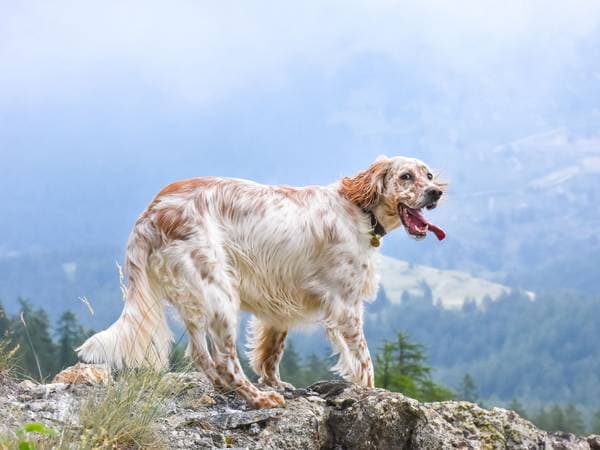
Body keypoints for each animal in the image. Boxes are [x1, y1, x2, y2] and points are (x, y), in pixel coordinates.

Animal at [77, 155, 446, 408]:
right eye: (406, 176)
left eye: (428, 174)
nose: (436, 192)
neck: (357, 210)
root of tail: (150, 214)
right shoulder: (345, 305)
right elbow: (364, 361)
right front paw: (372, 392)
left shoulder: (280, 304)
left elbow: (271, 352)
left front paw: (276, 383)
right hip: (220, 293)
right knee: (225, 361)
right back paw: (257, 398)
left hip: (195, 300)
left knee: (201, 355)